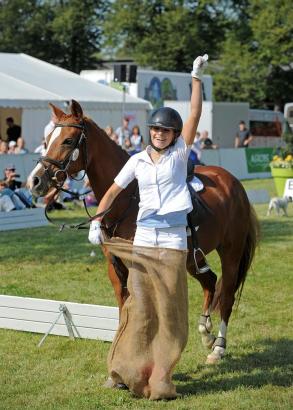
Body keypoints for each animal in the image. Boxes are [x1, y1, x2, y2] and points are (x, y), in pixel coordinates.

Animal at [29, 101, 258, 364]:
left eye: (67, 140)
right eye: (47, 140)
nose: (35, 181)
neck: (126, 200)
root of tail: (234, 183)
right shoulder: (116, 270)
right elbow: (124, 311)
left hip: (231, 251)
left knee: (227, 294)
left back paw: (218, 347)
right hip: (192, 258)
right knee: (210, 281)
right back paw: (205, 333)